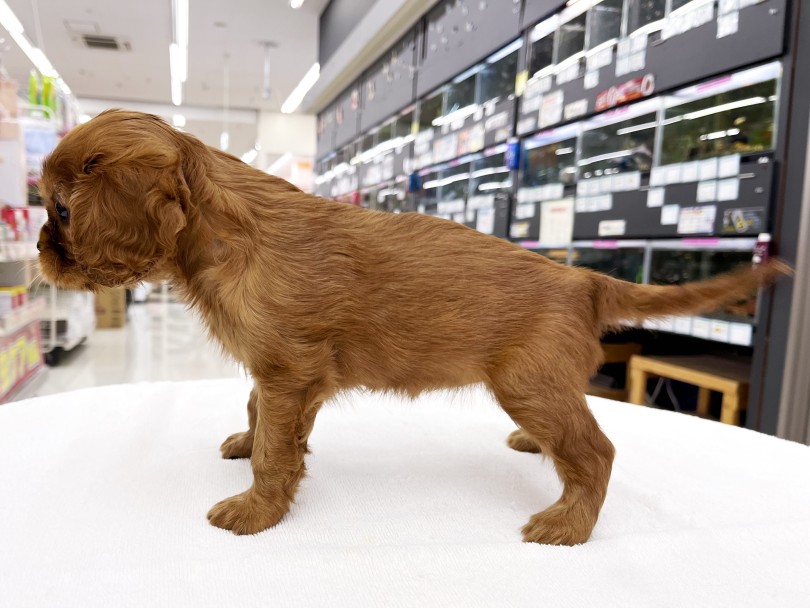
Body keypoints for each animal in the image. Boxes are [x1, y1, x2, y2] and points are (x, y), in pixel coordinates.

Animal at [39, 110, 788, 548]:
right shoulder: (276, 372)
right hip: (543, 385)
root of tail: (582, 278)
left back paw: (567, 523)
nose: (41, 254)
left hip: (525, 380)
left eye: (62, 212)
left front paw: (255, 510)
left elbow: (277, 450)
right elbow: (257, 416)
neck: (226, 231)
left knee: (596, 452)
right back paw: (535, 448)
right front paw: (245, 448)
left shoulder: (289, 370)